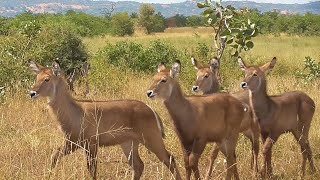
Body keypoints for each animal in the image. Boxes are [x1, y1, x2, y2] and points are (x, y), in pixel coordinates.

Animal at [28, 61, 181, 179]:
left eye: (47, 79)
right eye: (37, 77)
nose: (32, 93)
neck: (75, 110)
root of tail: (151, 109)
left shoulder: (91, 144)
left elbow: (92, 170)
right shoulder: (71, 143)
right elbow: (54, 155)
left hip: (152, 140)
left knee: (170, 159)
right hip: (129, 143)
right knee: (138, 165)